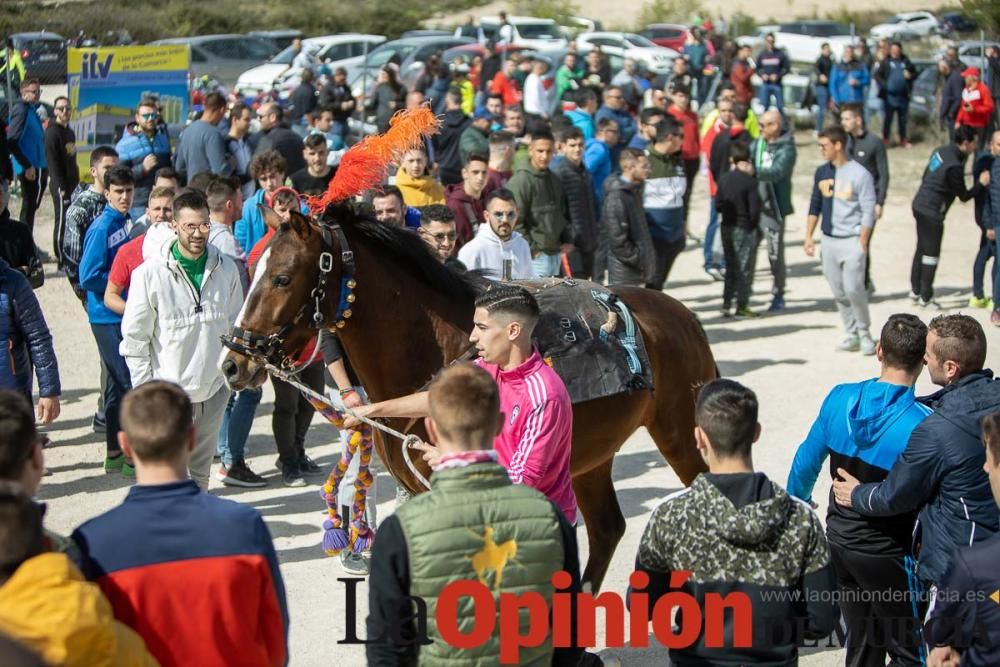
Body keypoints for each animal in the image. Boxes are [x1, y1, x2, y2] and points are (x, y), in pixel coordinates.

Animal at [222, 206, 716, 592]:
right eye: (253, 267)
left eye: (281, 277)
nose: (233, 362)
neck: (442, 353)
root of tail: (680, 314)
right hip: (591, 457)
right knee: (608, 528)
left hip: (680, 436)